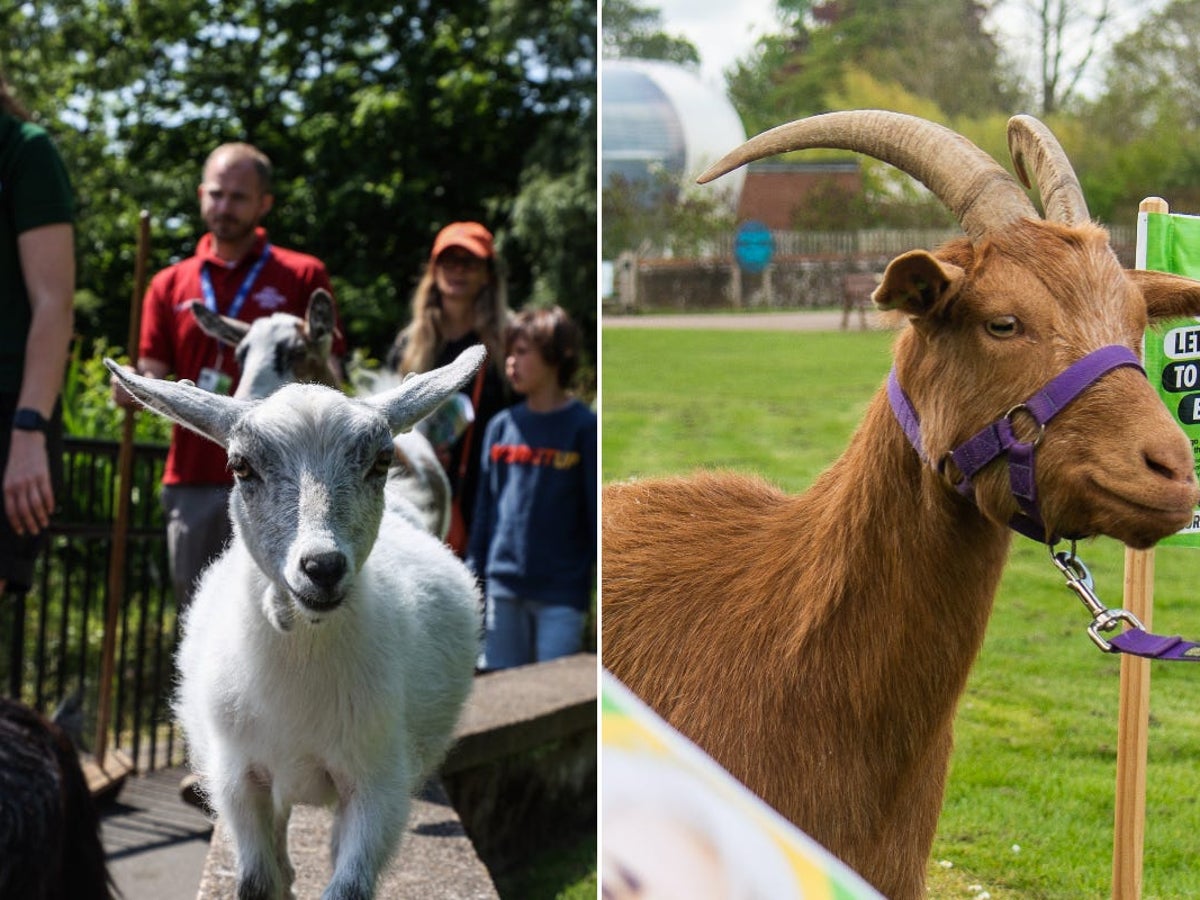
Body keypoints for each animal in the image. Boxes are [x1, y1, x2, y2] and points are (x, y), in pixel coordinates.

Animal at [105, 345, 486, 900]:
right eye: (240, 466)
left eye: (381, 460)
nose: (322, 567)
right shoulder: (238, 780)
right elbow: (259, 880)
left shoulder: (377, 786)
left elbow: (348, 887)